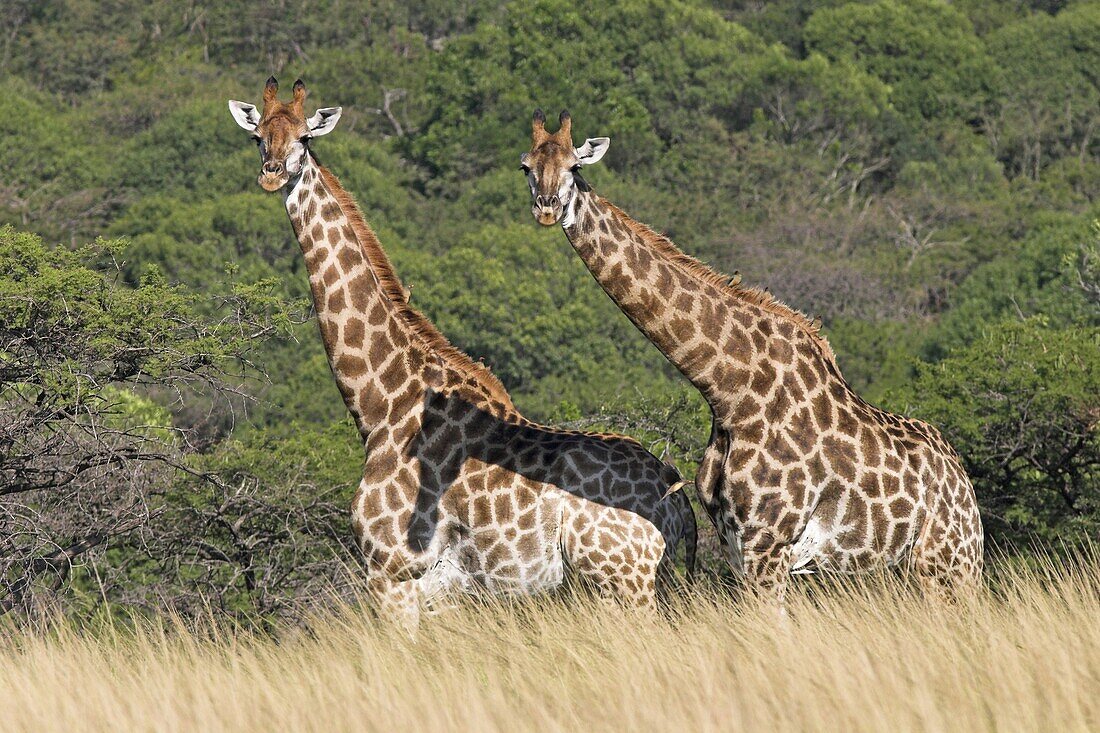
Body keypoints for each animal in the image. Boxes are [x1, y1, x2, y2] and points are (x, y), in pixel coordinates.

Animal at [225, 81, 695, 629]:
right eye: (258, 135)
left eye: (303, 137)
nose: (272, 172)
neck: (382, 402)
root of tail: (677, 499)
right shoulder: (443, 591)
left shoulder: (393, 572)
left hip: (622, 578)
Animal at [519, 108, 985, 607]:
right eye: (527, 166)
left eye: (574, 167)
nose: (546, 208)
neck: (729, 390)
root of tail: (965, 486)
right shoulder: (735, 542)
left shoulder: (769, 544)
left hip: (950, 563)